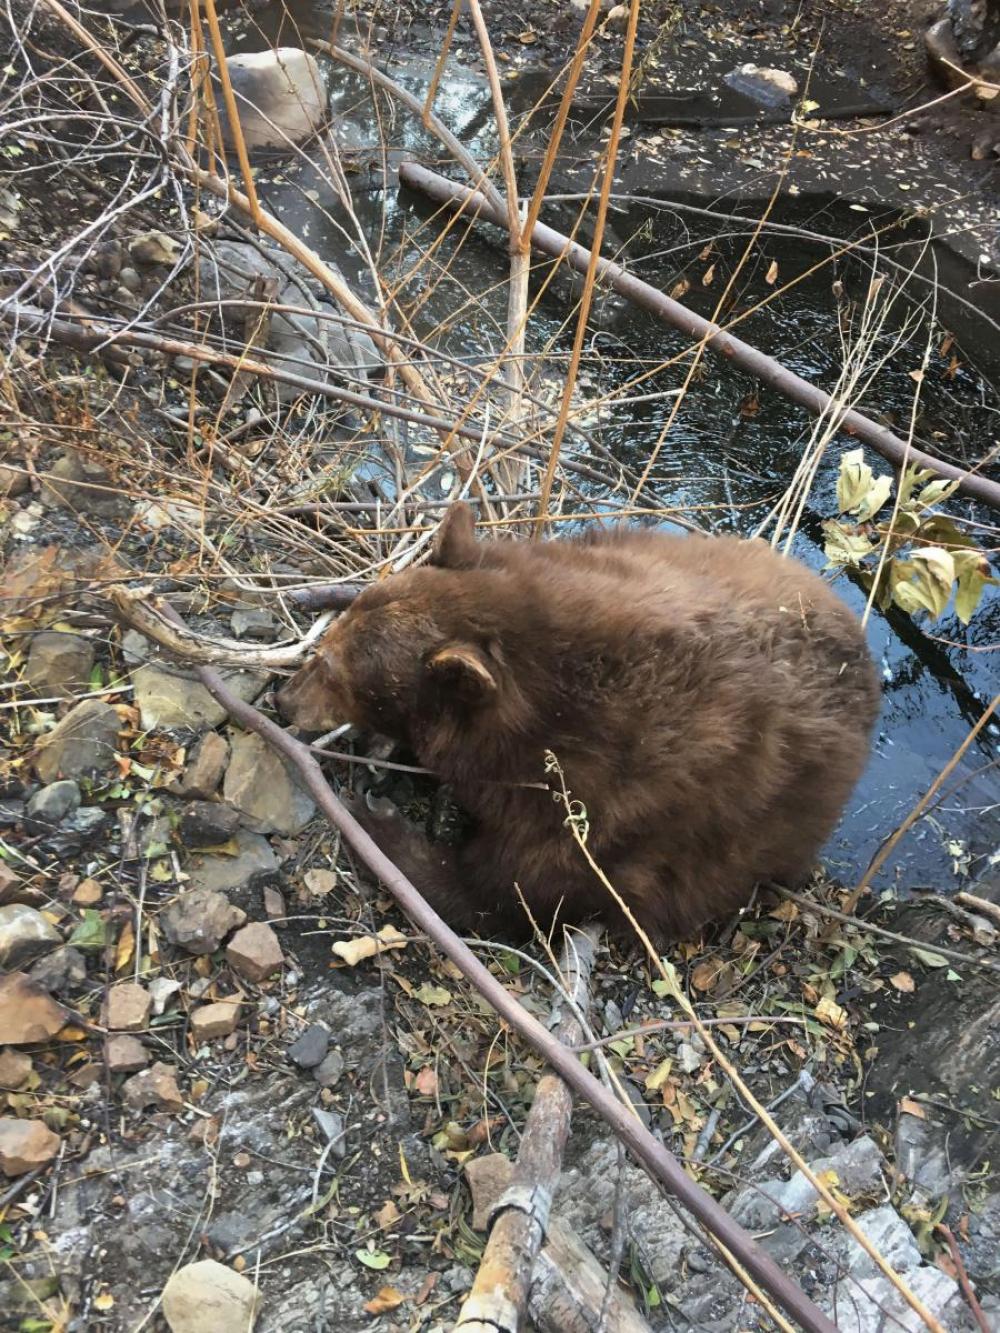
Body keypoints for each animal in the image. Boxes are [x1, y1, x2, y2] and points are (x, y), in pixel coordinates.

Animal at [276, 503, 881, 942]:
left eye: (333, 669)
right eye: (328, 646)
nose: (284, 701)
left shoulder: (614, 803)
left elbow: (517, 893)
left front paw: (379, 822)